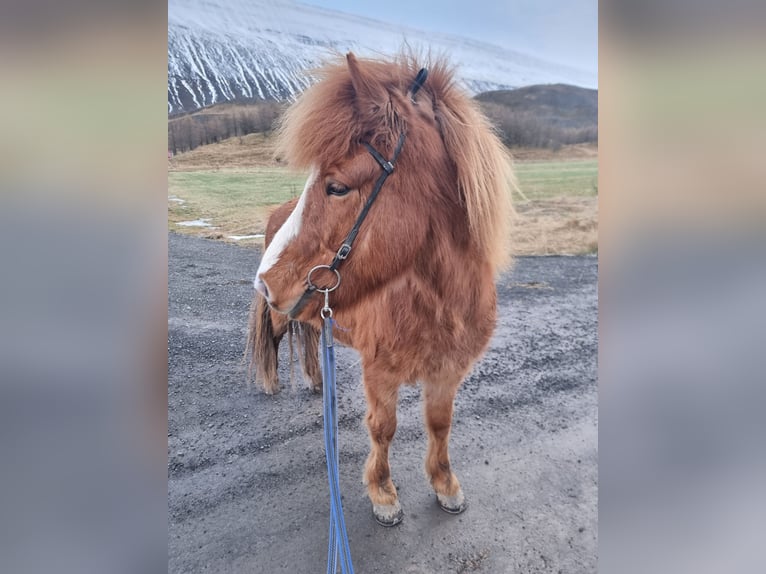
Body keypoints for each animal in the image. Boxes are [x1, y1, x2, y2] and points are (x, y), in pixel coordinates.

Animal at [247, 52, 514, 526]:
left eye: (336, 187)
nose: (266, 279)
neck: (437, 302)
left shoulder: (447, 372)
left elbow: (440, 423)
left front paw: (445, 484)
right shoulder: (379, 372)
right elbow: (383, 428)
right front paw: (383, 494)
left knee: (311, 336)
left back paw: (317, 382)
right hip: (279, 316)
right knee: (274, 340)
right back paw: (271, 382)